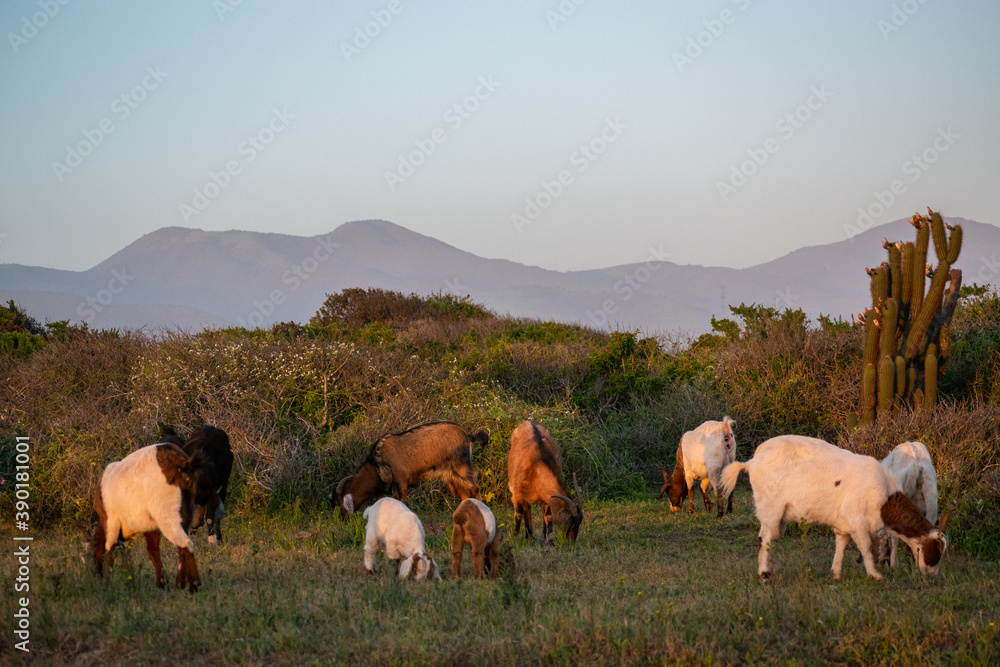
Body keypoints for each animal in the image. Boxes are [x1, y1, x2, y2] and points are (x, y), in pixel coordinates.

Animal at [90, 446, 219, 592]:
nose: (96, 577)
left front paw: (110, 582)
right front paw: (161, 583)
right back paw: (184, 584)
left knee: (185, 543)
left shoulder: (111, 526)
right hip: (186, 513)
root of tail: (182, 463)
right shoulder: (151, 527)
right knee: (183, 544)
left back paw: (190, 584)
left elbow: (110, 552)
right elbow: (152, 552)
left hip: (167, 516)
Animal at [332, 422, 484, 516]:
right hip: (453, 474)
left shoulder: (401, 483)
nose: (341, 518)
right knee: (464, 493)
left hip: (462, 467)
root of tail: (467, 435)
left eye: (339, 502)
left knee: (475, 489)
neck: (377, 464)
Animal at [720, 436, 944, 580]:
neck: (885, 495)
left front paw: (836, 573)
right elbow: (865, 547)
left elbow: (841, 545)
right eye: (936, 551)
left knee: (772, 539)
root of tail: (753, 460)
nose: (933, 575)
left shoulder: (843, 525)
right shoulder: (856, 520)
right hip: (770, 508)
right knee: (764, 539)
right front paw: (875, 574)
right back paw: (764, 574)